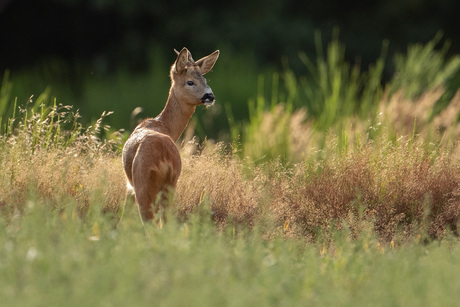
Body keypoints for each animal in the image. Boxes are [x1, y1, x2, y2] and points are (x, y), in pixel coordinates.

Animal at [122, 47, 219, 221]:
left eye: (205, 80)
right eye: (190, 82)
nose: (210, 96)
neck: (164, 125)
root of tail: (163, 158)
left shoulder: (129, 185)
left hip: (143, 183)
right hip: (171, 183)